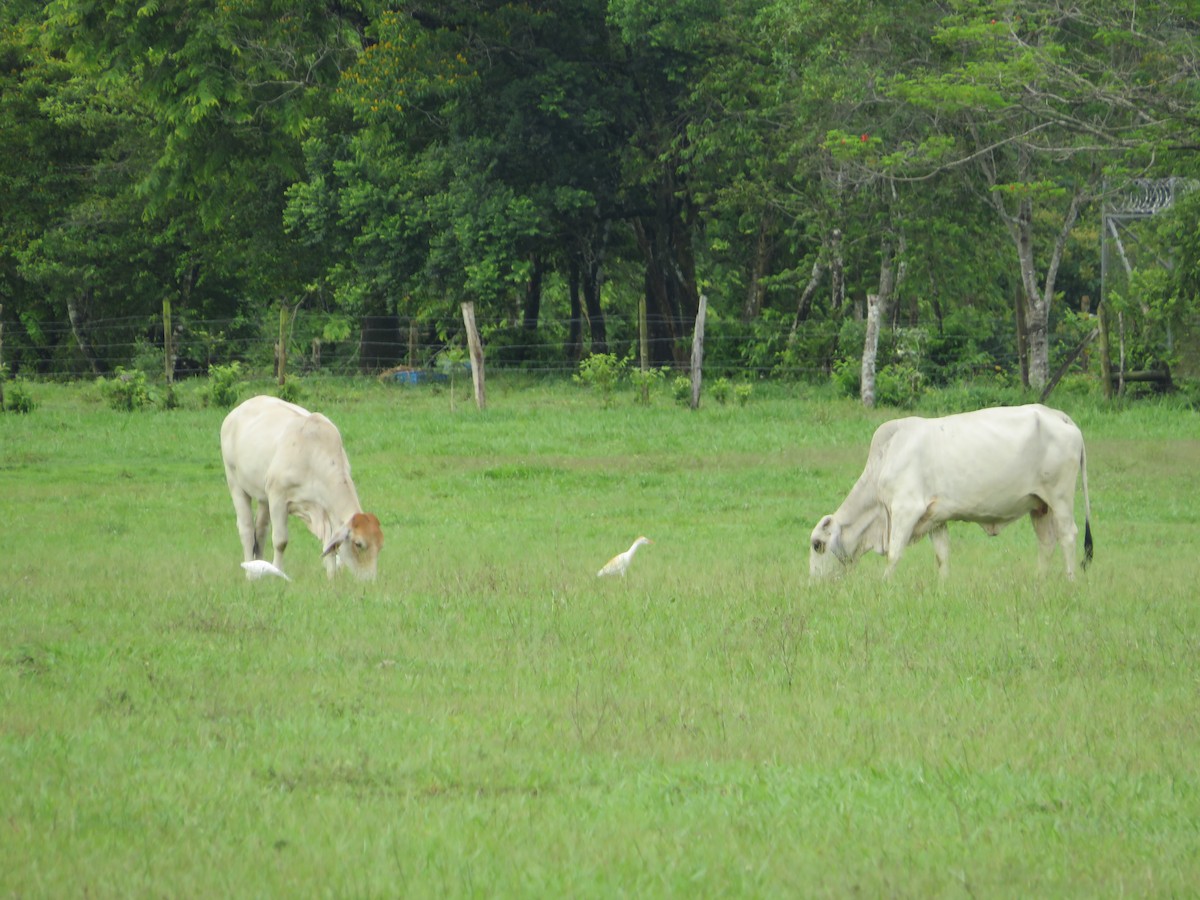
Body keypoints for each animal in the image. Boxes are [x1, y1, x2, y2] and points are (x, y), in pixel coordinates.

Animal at [218, 396, 381, 580]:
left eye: (380, 545)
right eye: (359, 544)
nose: (370, 580)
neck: (313, 455)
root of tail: (235, 412)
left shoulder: (325, 507)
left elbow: (330, 544)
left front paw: (332, 577)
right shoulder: (278, 498)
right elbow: (280, 541)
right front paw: (278, 573)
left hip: (263, 496)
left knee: (260, 531)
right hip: (234, 481)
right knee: (246, 530)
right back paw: (250, 574)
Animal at [811, 405, 1094, 580]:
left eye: (817, 545)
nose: (814, 585)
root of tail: (1057, 415)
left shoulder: (905, 509)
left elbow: (894, 554)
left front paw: (884, 586)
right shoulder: (936, 518)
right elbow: (942, 556)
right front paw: (943, 587)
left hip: (1060, 498)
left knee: (1068, 535)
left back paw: (1070, 580)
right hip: (1039, 505)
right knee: (1046, 542)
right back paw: (1039, 582)